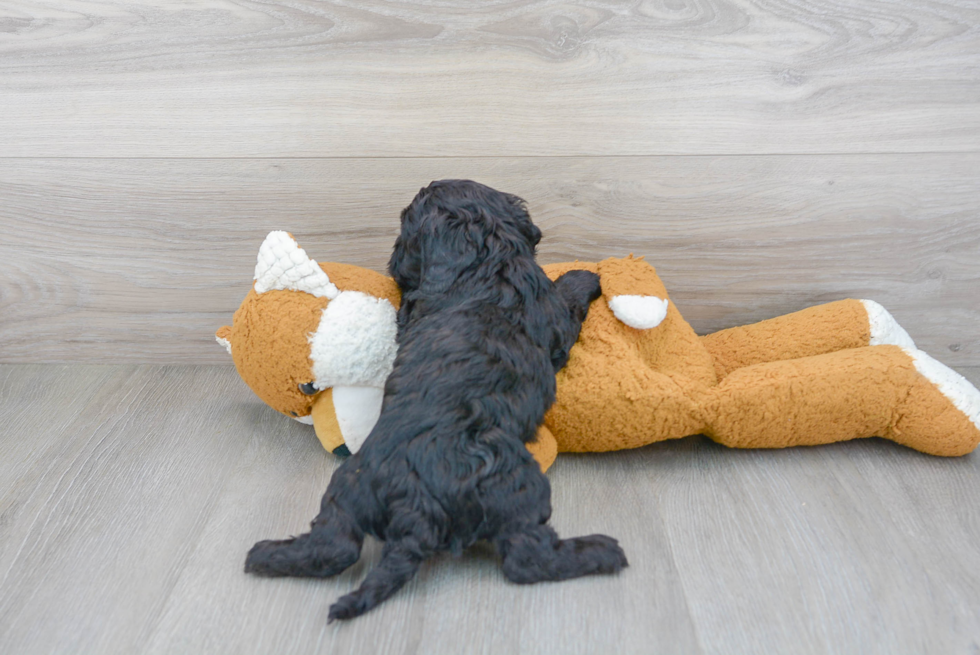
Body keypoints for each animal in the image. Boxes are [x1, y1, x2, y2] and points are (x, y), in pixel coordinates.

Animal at [245, 179, 628, 620]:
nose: (393, 262)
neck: (481, 261)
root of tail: (415, 509)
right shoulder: (555, 319)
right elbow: (568, 295)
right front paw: (586, 275)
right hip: (515, 482)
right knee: (527, 558)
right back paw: (602, 550)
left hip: (347, 489)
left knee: (332, 545)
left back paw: (264, 554)